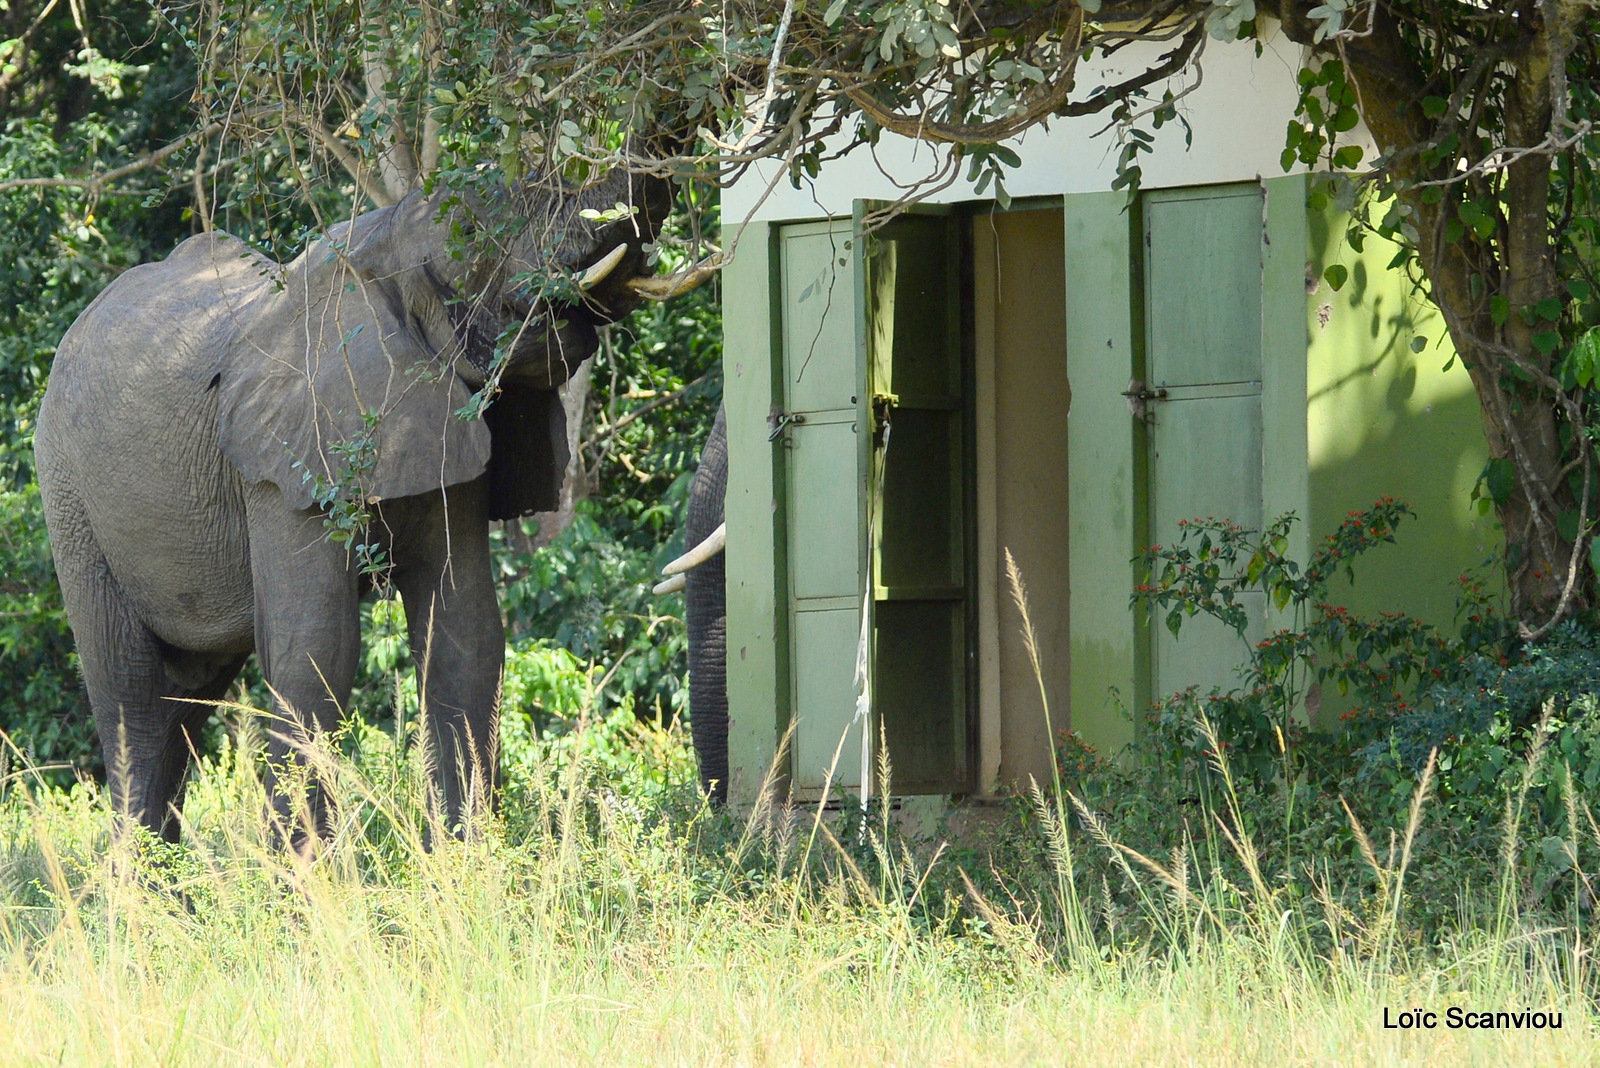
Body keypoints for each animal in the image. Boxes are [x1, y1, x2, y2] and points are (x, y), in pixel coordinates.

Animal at [32, 173, 713, 844]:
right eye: (477, 227)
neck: (376, 238)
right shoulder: (286, 456)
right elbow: (315, 651)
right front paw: (310, 875)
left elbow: (465, 636)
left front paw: (464, 860)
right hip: (67, 493)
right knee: (132, 692)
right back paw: (141, 875)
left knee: (188, 692)